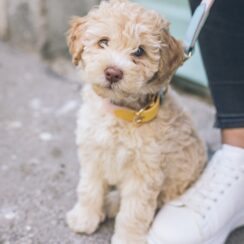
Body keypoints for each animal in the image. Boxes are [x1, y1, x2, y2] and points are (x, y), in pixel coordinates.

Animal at [66, 0, 206, 243]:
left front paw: (127, 238)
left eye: (139, 51)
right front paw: (85, 218)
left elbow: (134, 212)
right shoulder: (92, 153)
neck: (120, 112)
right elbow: (88, 188)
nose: (113, 72)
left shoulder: (145, 173)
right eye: (103, 42)